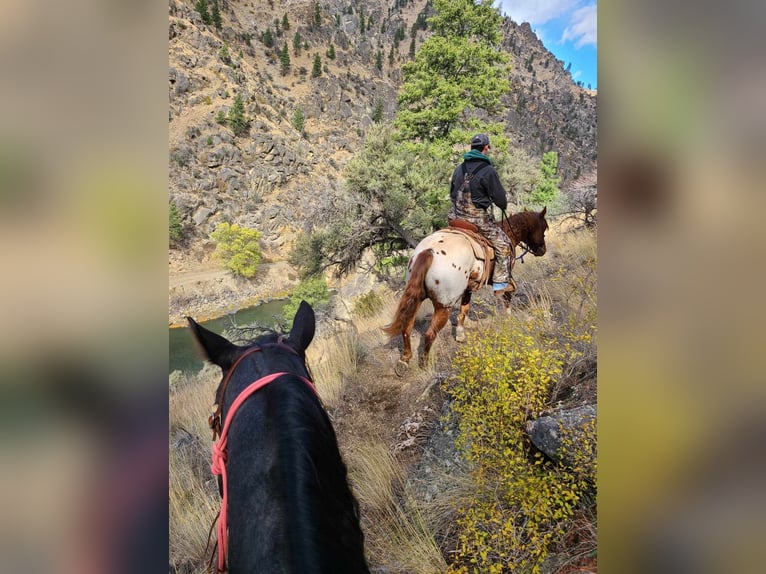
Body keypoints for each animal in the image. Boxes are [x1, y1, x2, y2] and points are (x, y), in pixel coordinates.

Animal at [388, 209, 548, 376]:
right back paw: (425, 365)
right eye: (543, 228)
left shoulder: (468, 288)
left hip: (416, 299)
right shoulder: (504, 277)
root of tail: (428, 252)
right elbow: (508, 294)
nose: (542, 250)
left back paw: (404, 361)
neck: (508, 232)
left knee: (406, 328)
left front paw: (460, 334)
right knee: (429, 334)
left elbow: (464, 309)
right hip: (443, 307)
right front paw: (509, 317)